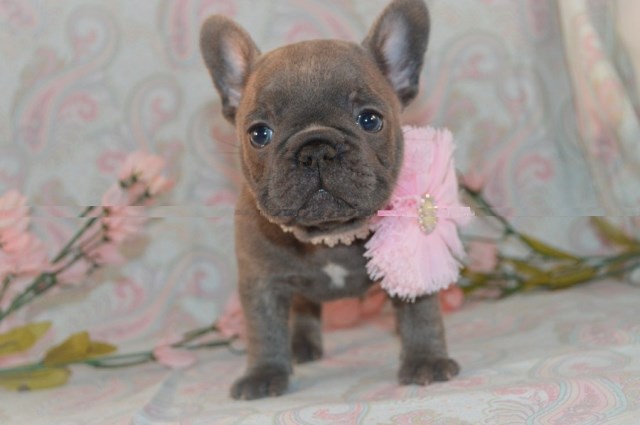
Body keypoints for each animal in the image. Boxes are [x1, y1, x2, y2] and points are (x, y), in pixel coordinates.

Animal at [198, 0, 458, 400]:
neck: (329, 234)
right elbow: (264, 330)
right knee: (304, 306)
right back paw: (301, 345)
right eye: (259, 133)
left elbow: (420, 312)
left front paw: (425, 359)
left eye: (370, 119)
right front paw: (264, 372)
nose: (315, 148)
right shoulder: (261, 281)